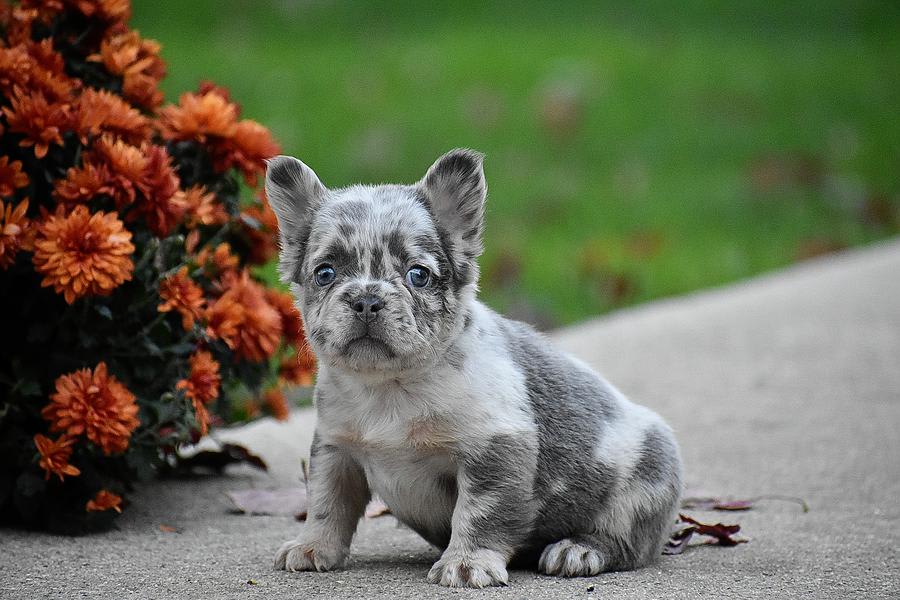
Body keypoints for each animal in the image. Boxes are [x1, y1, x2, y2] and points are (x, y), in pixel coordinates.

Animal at [266, 149, 684, 584]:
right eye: (325, 273)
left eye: (418, 275)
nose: (366, 300)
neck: (390, 386)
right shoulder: (336, 452)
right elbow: (326, 505)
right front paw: (313, 547)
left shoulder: (492, 452)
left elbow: (480, 513)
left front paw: (466, 563)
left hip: (639, 492)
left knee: (625, 542)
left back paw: (579, 549)